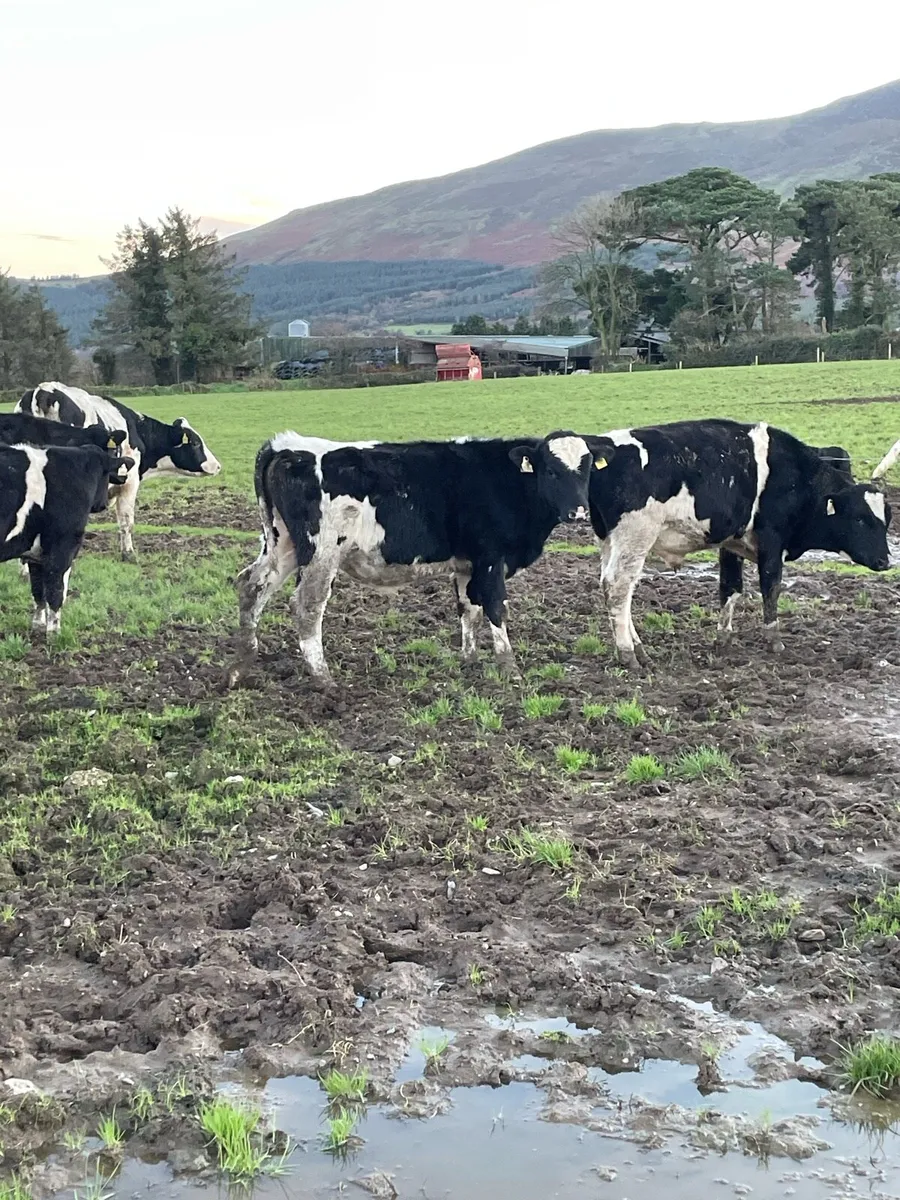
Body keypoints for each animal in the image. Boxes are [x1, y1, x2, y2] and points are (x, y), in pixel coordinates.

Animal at [0, 444, 134, 633]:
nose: (104, 503)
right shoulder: (63, 546)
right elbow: (55, 592)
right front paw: (54, 632)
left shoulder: (36, 553)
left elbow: (38, 590)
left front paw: (38, 624)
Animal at [16, 382, 221, 561]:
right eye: (195, 443)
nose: (218, 466)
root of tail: (45, 390)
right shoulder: (129, 483)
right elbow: (126, 521)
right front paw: (128, 554)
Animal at [229, 430, 618, 686]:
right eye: (551, 470)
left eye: (586, 469)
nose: (577, 511)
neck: (502, 480)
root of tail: (286, 446)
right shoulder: (491, 559)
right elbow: (495, 607)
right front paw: (510, 669)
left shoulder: (467, 564)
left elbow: (468, 609)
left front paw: (469, 661)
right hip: (321, 553)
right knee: (307, 606)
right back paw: (323, 679)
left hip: (282, 545)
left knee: (251, 586)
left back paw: (240, 667)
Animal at [586, 420, 891, 670]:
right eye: (860, 519)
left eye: (886, 519)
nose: (886, 561)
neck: (796, 477)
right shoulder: (772, 541)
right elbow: (771, 587)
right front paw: (774, 640)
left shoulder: (731, 543)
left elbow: (730, 589)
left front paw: (723, 639)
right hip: (635, 536)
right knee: (619, 587)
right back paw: (628, 654)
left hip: (611, 540)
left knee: (611, 586)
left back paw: (639, 649)